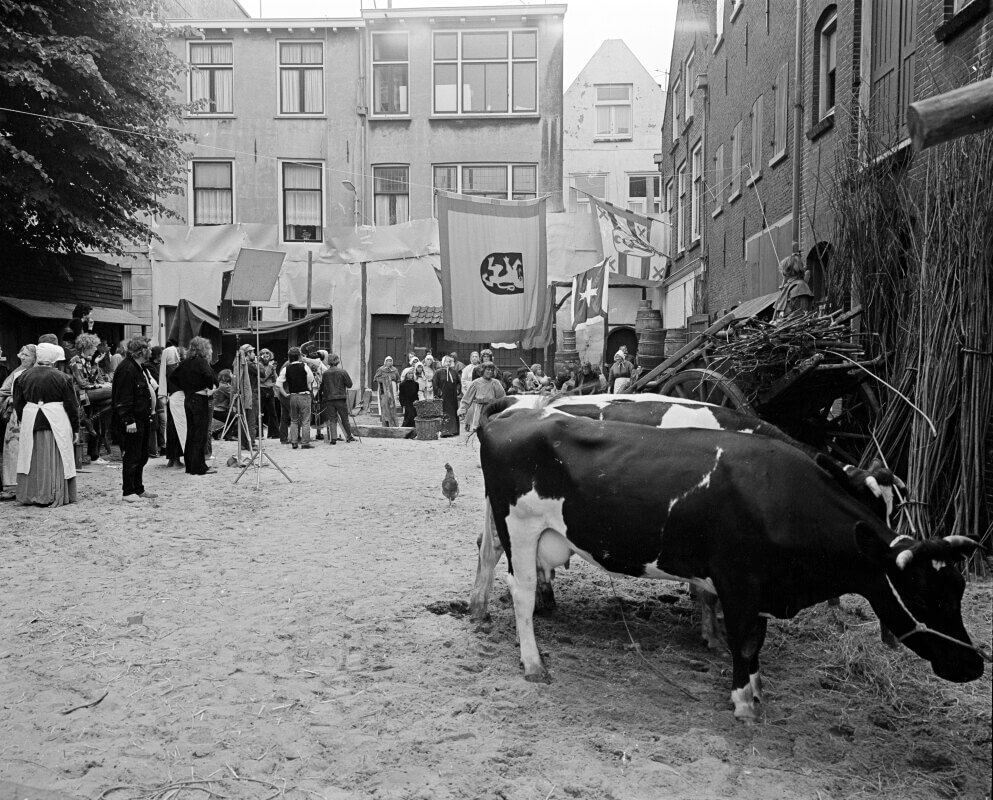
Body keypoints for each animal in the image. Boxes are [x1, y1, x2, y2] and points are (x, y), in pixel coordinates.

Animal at [474, 410, 984, 720]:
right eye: (921, 592)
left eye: (957, 591)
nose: (974, 664)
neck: (780, 497)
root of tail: (510, 415)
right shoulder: (739, 582)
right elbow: (745, 642)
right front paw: (744, 702)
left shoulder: (758, 591)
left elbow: (755, 643)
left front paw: (755, 689)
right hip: (519, 528)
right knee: (521, 594)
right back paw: (533, 663)